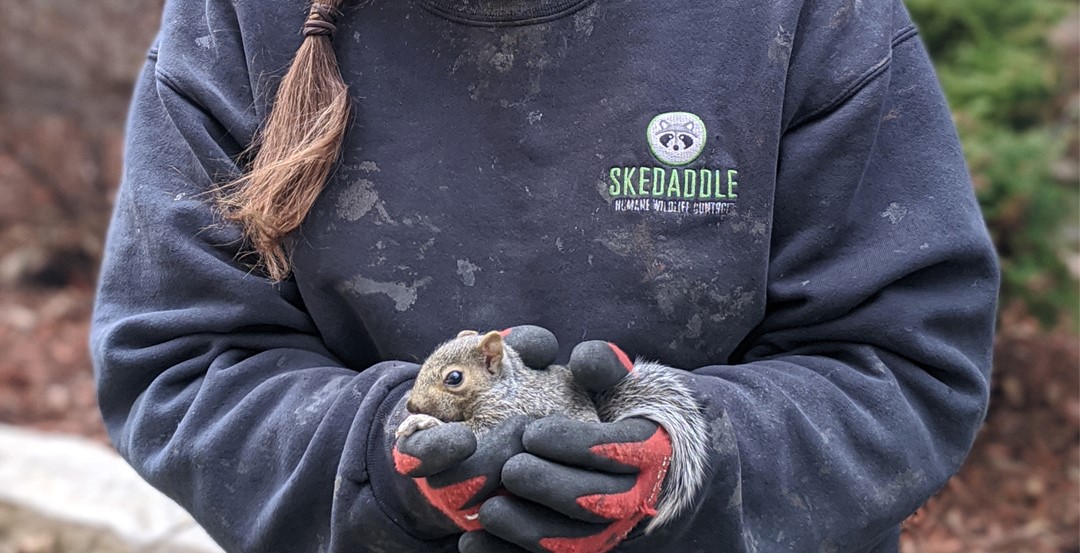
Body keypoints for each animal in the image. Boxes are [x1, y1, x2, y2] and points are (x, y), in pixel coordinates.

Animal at [396, 327, 710, 534]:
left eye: (454, 378)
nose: (411, 405)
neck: (504, 387)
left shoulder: (506, 412)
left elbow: (478, 430)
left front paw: (423, 422)